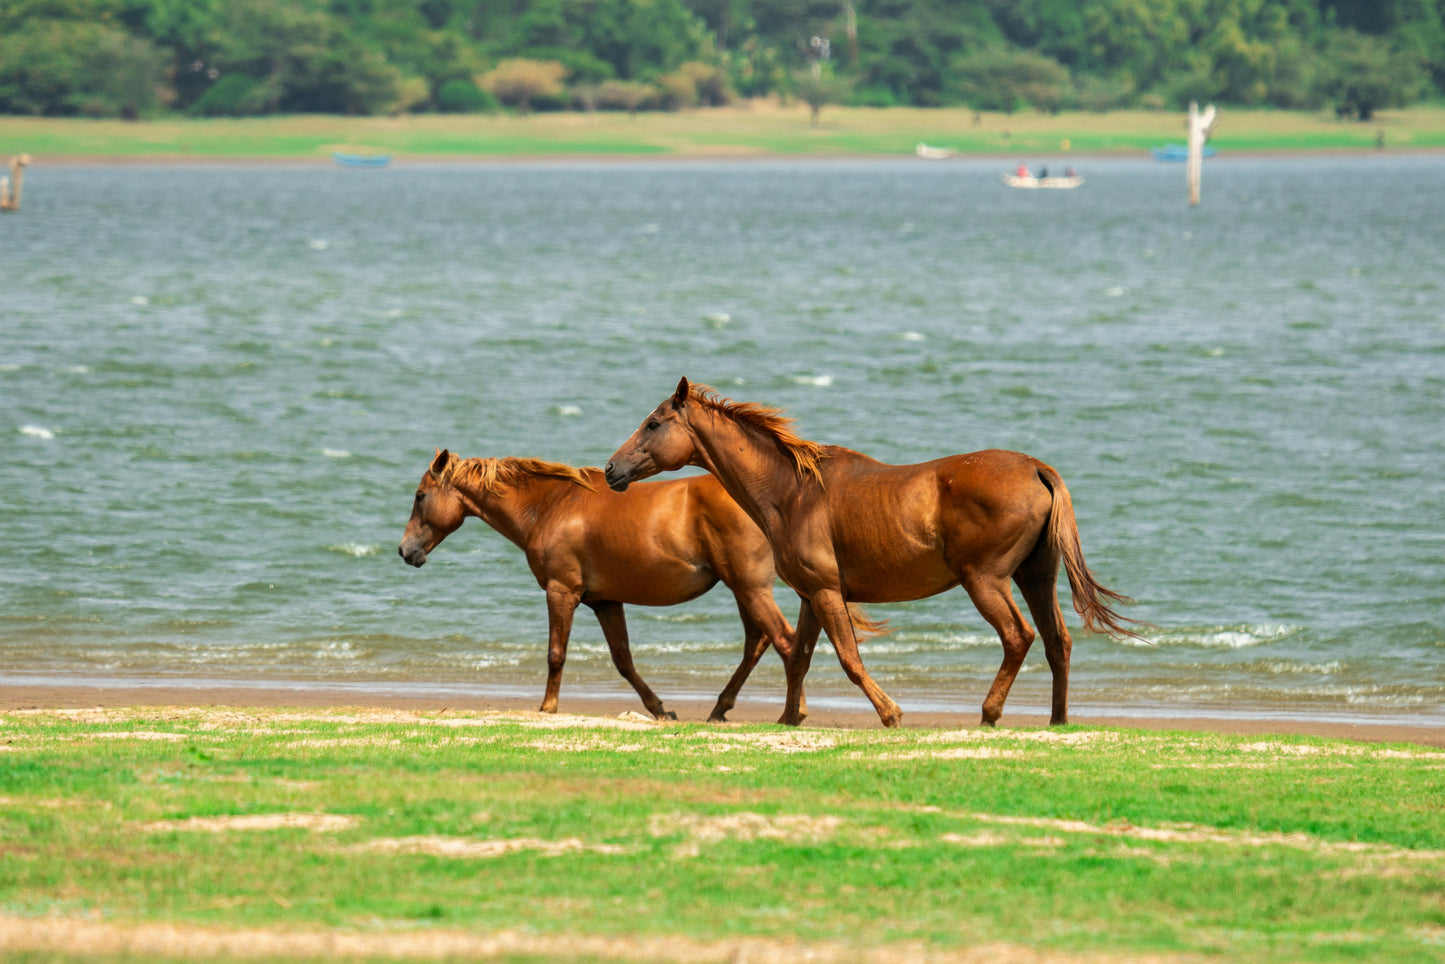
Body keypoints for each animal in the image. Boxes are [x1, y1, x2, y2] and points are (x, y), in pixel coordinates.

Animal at [398, 448, 802, 722]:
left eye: (420, 496)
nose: (405, 551)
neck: (550, 506)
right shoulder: (606, 602)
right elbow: (623, 660)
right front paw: (659, 709)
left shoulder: (561, 592)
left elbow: (556, 654)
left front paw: (548, 706)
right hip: (743, 590)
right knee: (759, 642)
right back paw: (721, 708)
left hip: (749, 589)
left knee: (784, 640)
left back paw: (792, 713)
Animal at [604, 378, 1142, 728]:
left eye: (653, 423)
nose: (611, 469)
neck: (792, 492)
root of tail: (1035, 468)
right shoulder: (810, 595)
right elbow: (799, 657)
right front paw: (787, 719)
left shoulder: (826, 592)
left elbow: (847, 658)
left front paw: (891, 713)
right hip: (1035, 576)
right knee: (1057, 641)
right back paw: (1058, 720)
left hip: (986, 580)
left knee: (1018, 636)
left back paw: (989, 715)